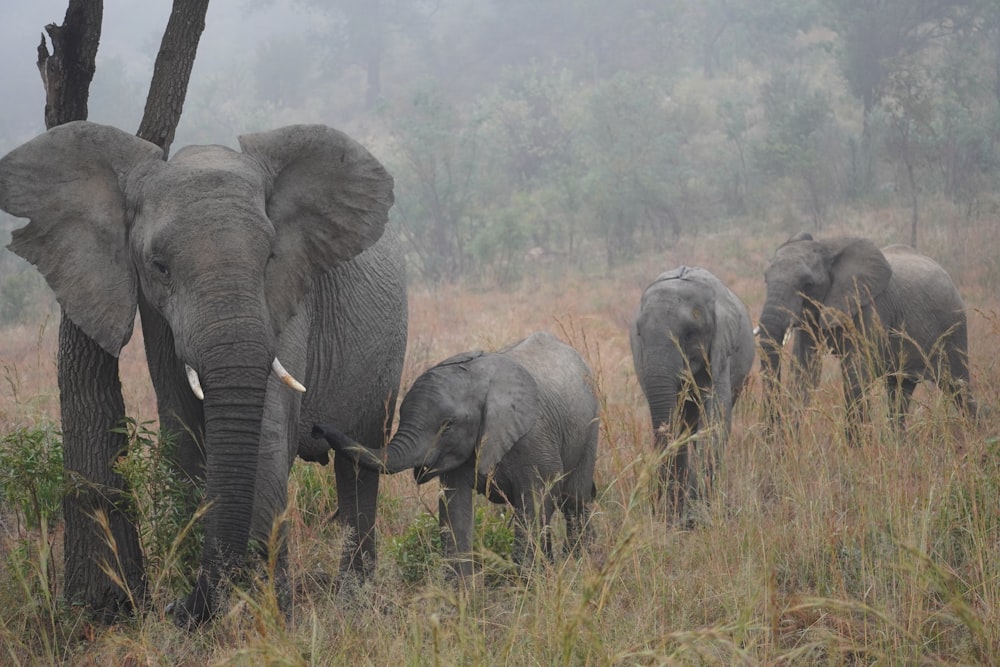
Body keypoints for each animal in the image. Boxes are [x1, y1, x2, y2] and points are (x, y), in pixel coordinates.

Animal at [0, 120, 410, 628]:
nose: (174, 606)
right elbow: (183, 436)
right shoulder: (156, 315)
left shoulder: (288, 300)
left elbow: (267, 438)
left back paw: (352, 598)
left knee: (359, 460)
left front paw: (274, 615)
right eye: (159, 267)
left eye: (271, 258)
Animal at [312, 332, 596, 580]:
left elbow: (532, 506)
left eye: (447, 425)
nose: (318, 429)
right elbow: (455, 511)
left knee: (574, 502)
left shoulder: (533, 441)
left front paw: (526, 586)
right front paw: (461, 598)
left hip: (590, 429)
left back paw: (580, 564)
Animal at [628, 266, 752, 528]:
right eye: (639, 334)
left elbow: (715, 422)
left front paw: (699, 515)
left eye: (689, 333)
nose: (652, 505)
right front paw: (677, 516)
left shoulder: (720, 351)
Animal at [756, 232, 976, 440]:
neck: (828, 248)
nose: (770, 435)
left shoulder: (871, 308)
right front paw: (790, 442)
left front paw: (855, 447)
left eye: (808, 284)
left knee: (958, 386)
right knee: (899, 390)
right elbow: (804, 371)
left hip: (953, 328)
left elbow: (856, 372)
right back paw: (899, 444)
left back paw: (975, 436)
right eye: (765, 279)